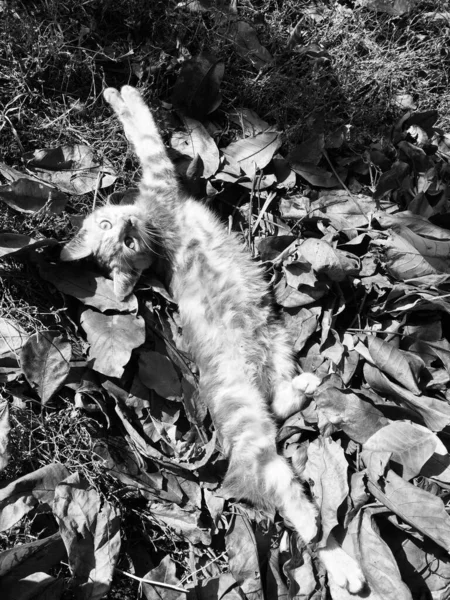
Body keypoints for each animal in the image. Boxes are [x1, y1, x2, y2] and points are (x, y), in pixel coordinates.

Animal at [60, 86, 366, 592]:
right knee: (286, 495)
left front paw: (119, 93)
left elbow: (144, 132)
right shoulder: (160, 174)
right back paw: (337, 556)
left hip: (279, 350)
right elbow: (144, 131)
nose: (125, 227)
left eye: (122, 239)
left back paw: (303, 388)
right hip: (252, 429)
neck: (153, 222)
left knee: (280, 405)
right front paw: (122, 95)